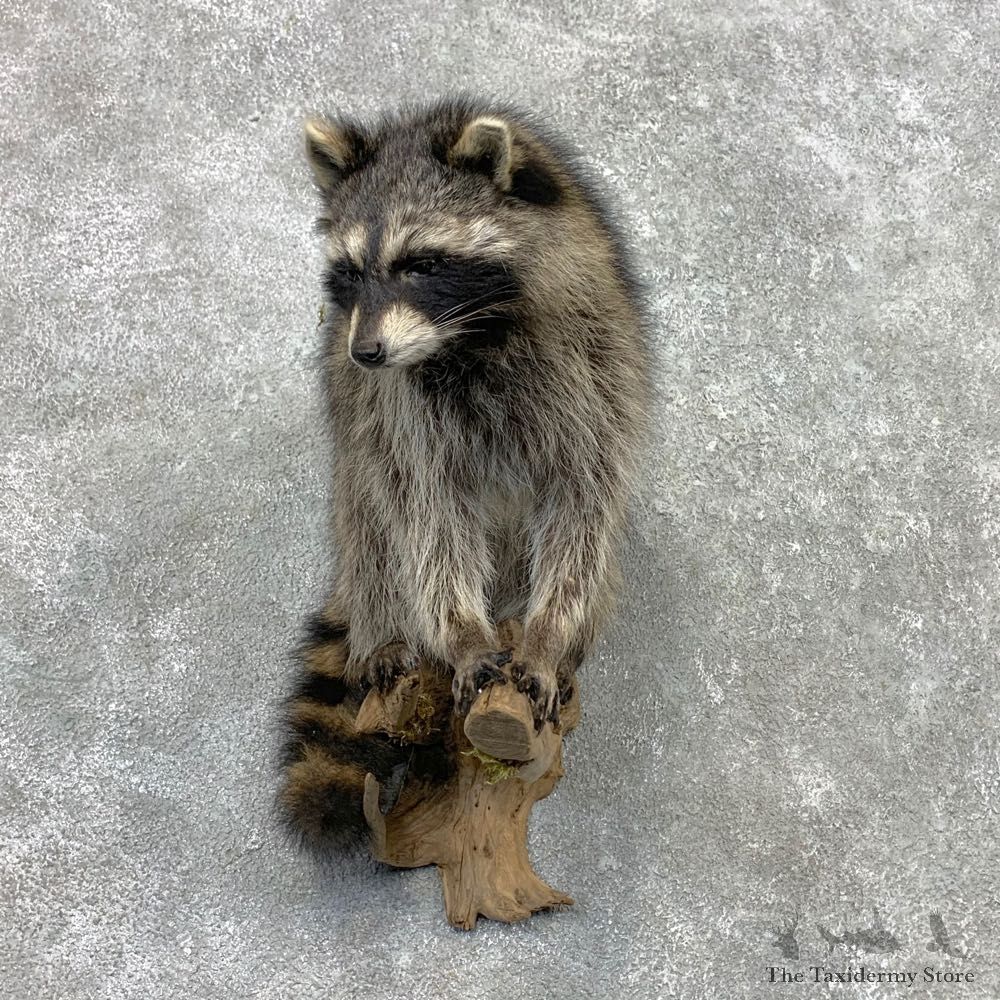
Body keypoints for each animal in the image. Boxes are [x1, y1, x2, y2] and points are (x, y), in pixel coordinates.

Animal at [280, 97, 651, 850]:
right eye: (350, 272)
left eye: (422, 263)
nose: (365, 351)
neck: (468, 336)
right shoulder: (400, 405)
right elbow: (427, 513)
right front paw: (460, 634)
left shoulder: (594, 362)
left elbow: (584, 501)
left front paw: (550, 635)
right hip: (356, 445)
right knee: (367, 513)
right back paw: (384, 627)